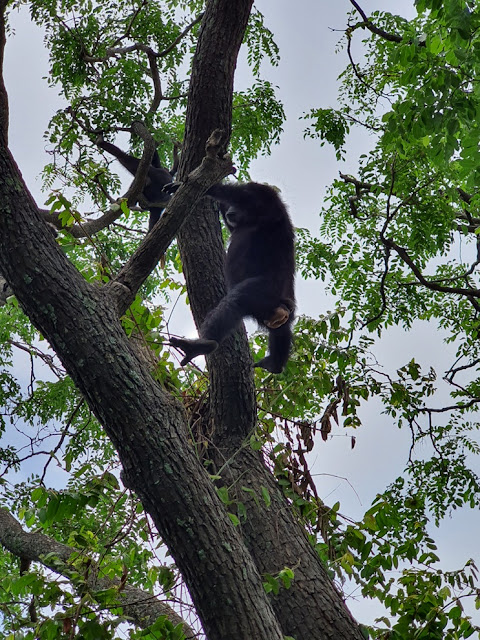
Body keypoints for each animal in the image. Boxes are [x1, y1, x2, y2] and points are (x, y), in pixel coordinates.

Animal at [169, 180, 296, 372]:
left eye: (237, 206)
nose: (231, 210)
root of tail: (282, 307)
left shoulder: (265, 200)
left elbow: (237, 193)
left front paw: (195, 185)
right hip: (273, 310)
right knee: (281, 330)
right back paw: (274, 363)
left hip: (264, 289)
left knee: (235, 301)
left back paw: (201, 345)